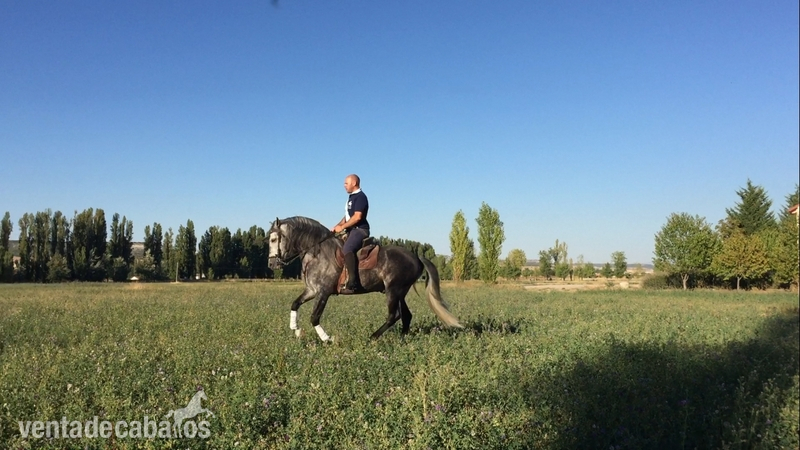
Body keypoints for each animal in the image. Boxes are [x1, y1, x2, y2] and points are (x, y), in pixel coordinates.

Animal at [267, 216, 462, 341]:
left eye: (274, 239)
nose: (272, 264)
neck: (317, 252)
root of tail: (416, 256)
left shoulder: (323, 292)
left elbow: (314, 317)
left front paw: (327, 339)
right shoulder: (312, 290)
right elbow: (295, 304)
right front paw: (296, 330)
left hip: (393, 290)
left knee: (394, 315)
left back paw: (373, 337)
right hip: (400, 292)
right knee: (406, 315)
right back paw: (402, 339)